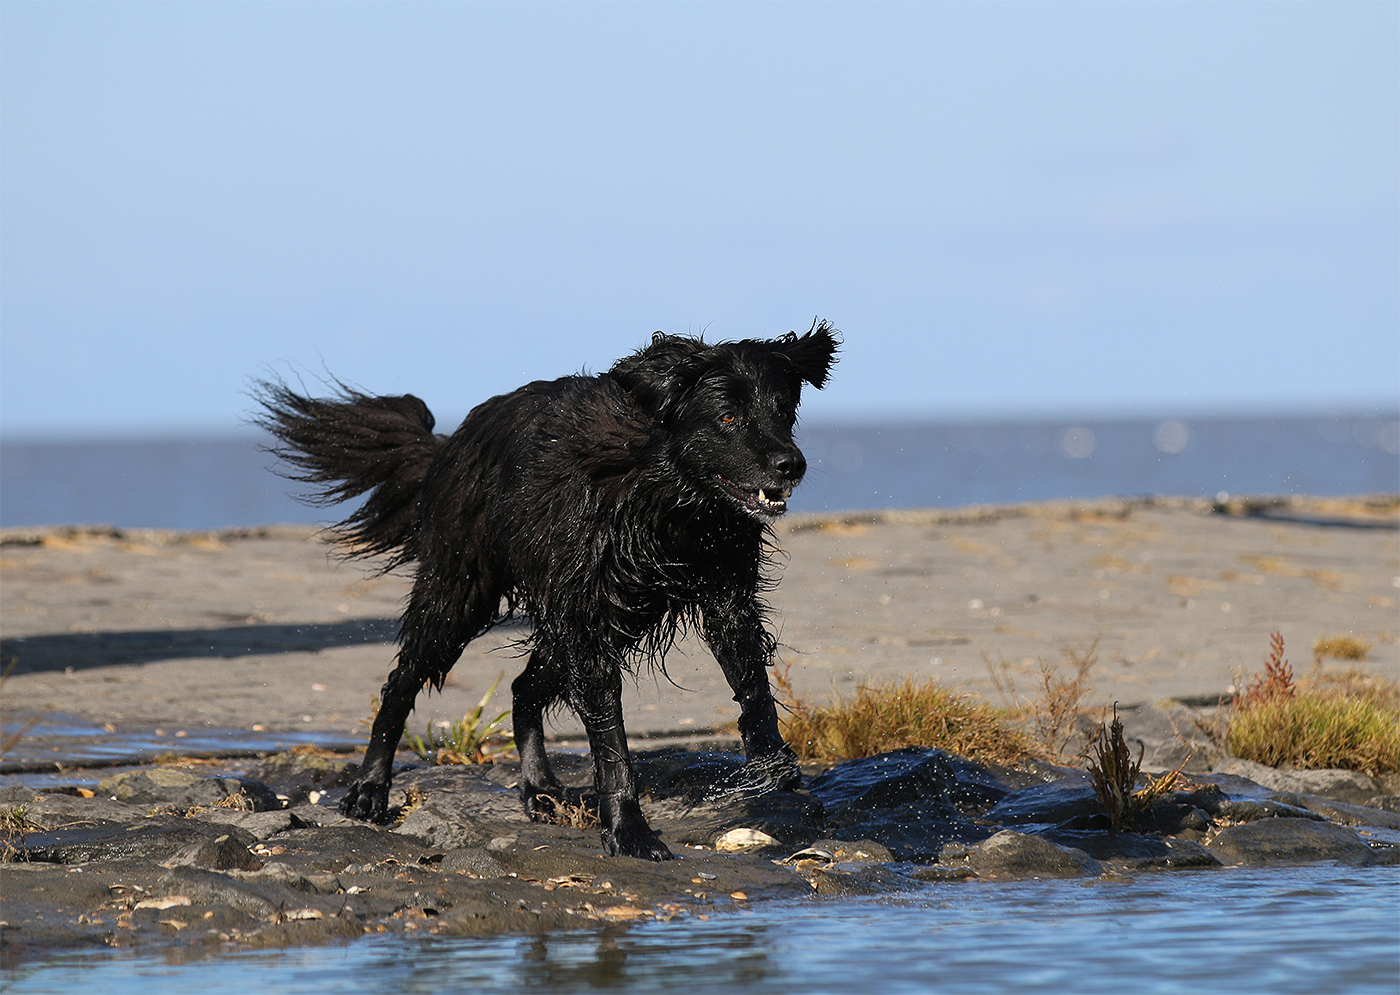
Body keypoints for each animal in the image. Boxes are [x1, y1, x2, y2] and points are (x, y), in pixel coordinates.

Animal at [255, 320, 838, 859]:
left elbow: (752, 681)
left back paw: (537, 786)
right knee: (401, 683)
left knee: (521, 689)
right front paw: (629, 830)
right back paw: (370, 788)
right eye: (728, 417)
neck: (663, 498)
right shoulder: (590, 618)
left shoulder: (720, 591)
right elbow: (612, 744)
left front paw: (771, 760)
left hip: (599, 619)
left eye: (783, 412)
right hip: (461, 597)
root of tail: (449, 445)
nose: (792, 464)